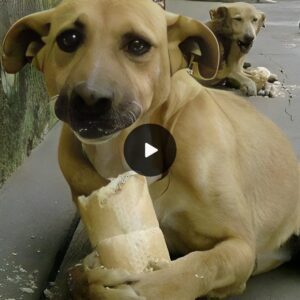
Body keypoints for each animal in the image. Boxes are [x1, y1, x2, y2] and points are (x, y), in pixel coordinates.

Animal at [2, 0, 300, 298]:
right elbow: (77, 274)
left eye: (138, 45)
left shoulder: (241, 245)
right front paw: (93, 281)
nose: (90, 99)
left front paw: (149, 287)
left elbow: (200, 266)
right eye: (68, 39)